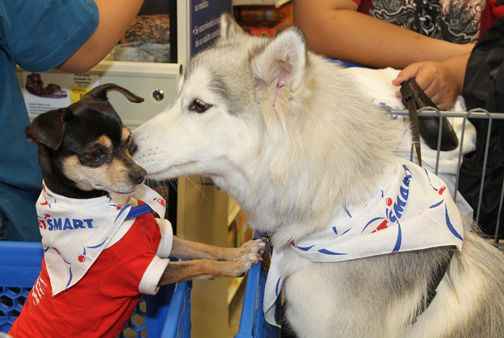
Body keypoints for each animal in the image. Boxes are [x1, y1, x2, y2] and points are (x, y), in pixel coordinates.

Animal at [8, 82, 264, 338]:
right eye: (95, 154)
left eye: (129, 141)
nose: (141, 174)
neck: (118, 210)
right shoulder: (149, 270)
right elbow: (197, 263)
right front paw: (237, 265)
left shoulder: (163, 239)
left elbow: (203, 248)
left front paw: (242, 251)